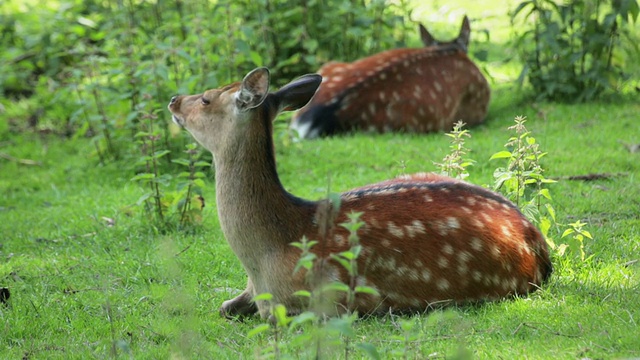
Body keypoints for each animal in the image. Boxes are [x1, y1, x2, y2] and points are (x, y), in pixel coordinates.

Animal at [169, 67, 552, 318]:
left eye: (206, 99)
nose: (174, 100)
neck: (265, 260)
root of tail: (536, 239)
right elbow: (224, 308)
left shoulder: (328, 302)